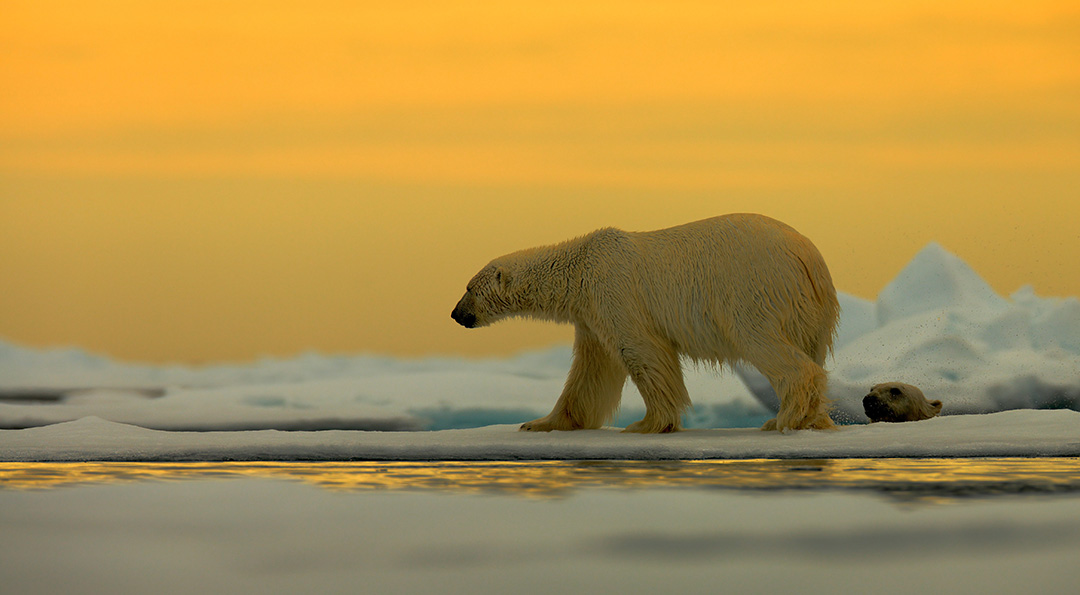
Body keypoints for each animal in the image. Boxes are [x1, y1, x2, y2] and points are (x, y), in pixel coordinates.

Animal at [451, 213, 838, 434]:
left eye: (468, 288)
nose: (455, 314)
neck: (580, 267)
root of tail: (809, 256)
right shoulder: (590, 314)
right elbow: (592, 370)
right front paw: (541, 423)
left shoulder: (615, 291)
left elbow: (641, 351)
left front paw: (648, 423)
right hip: (810, 311)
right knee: (812, 351)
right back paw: (814, 418)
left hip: (752, 288)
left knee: (762, 341)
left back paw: (784, 418)